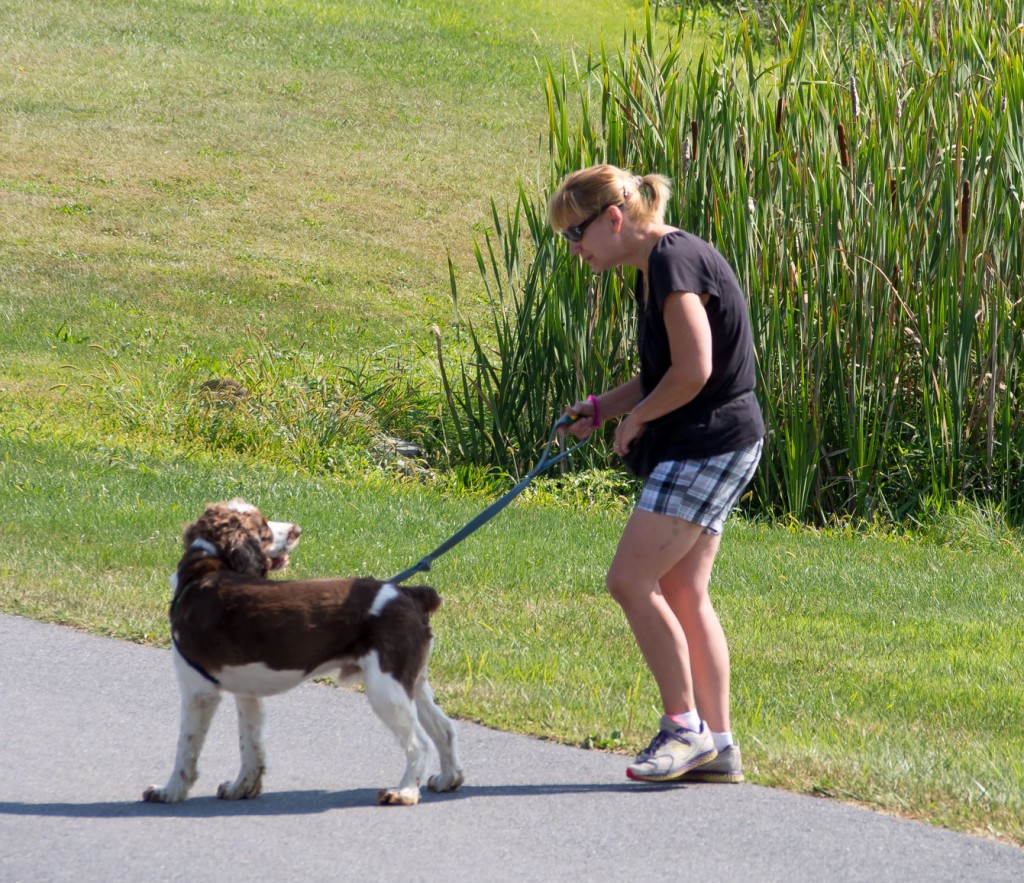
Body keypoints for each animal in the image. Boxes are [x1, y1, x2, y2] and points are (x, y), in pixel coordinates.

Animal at [143, 501, 464, 807]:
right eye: (264, 528)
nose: (296, 530)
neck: (203, 571)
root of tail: (410, 594)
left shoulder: (199, 690)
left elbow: (186, 749)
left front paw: (168, 792)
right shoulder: (246, 692)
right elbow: (251, 746)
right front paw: (241, 788)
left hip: (386, 688)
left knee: (420, 743)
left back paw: (405, 792)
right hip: (411, 680)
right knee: (444, 729)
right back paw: (447, 778)